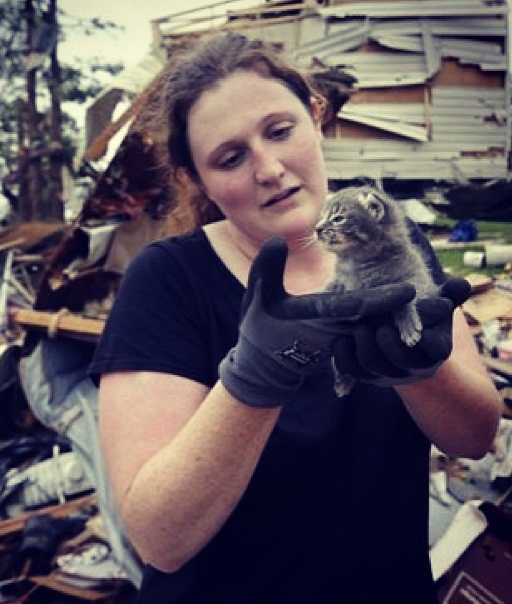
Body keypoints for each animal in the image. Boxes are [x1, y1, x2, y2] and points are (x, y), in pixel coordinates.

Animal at [316, 185, 436, 396]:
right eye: (321, 217)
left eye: (338, 218)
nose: (316, 229)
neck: (356, 263)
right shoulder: (339, 282)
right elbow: (329, 290)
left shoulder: (417, 276)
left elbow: (407, 294)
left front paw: (408, 325)